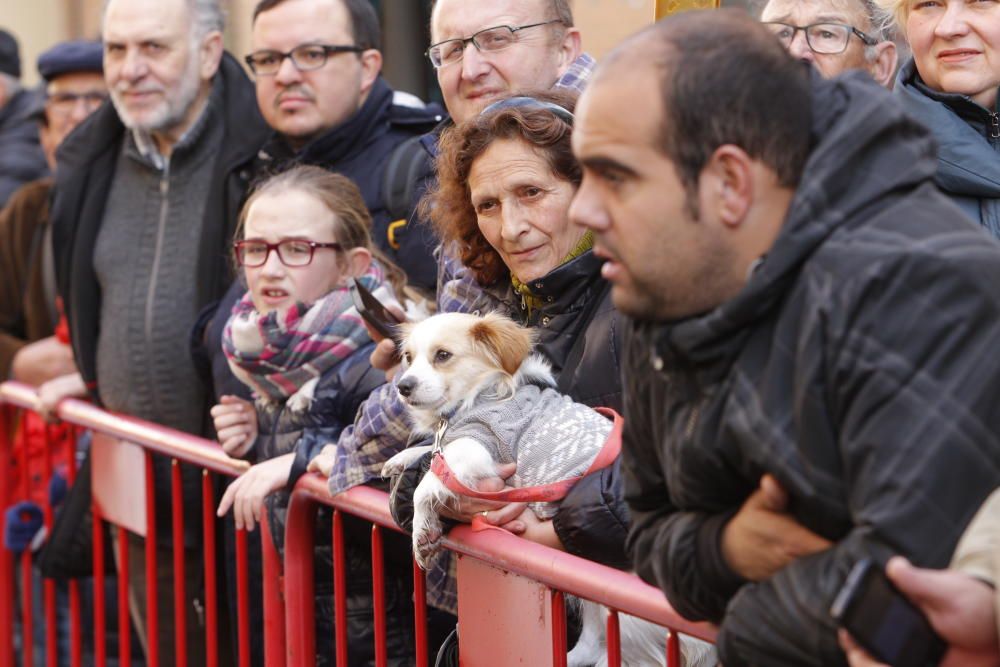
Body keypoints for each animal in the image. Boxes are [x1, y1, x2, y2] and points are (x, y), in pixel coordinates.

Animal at [378, 314, 716, 667]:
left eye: (443, 355)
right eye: (408, 357)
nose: (403, 386)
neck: (480, 396)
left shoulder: (480, 446)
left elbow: (430, 480)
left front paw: (421, 532)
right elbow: (433, 450)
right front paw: (401, 458)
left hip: (629, 616)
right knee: (592, 642)